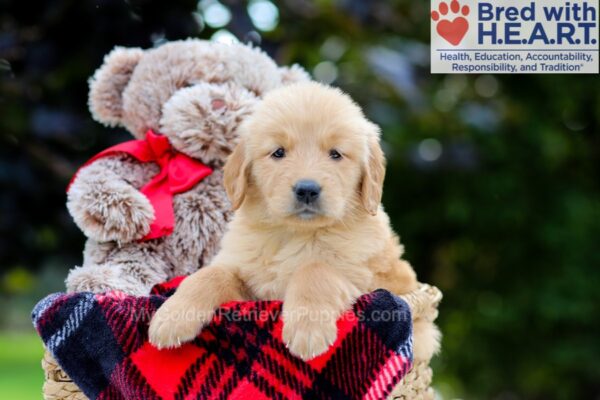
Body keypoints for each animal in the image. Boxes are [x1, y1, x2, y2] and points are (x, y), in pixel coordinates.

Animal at [149, 81, 440, 362]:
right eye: (278, 152)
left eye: (336, 154)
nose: (307, 189)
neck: (295, 234)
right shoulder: (251, 287)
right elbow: (210, 274)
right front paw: (172, 316)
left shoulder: (364, 281)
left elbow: (315, 269)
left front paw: (307, 329)